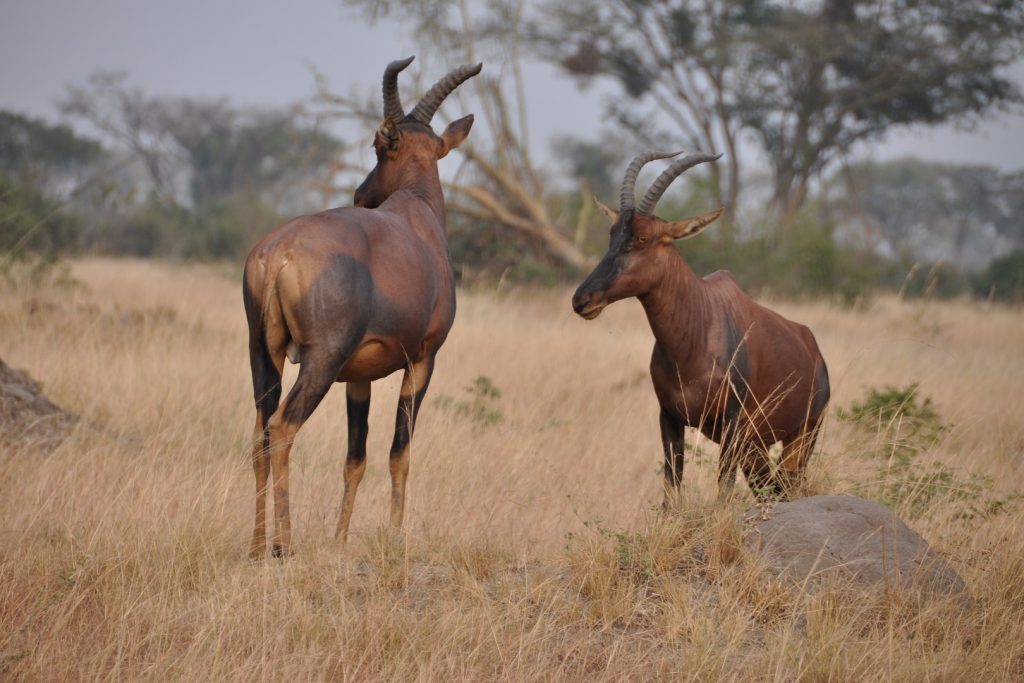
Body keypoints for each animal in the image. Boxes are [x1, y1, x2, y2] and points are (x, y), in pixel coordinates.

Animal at [242, 57, 479, 561]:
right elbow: (399, 453)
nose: (360, 194)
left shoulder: (359, 377)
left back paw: (255, 547)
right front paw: (394, 537)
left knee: (260, 433)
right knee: (283, 427)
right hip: (321, 360)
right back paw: (283, 546)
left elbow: (355, 458)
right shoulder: (423, 360)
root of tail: (279, 253)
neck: (415, 213)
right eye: (376, 144)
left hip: (263, 353)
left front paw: (340, 540)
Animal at [573, 152, 827, 505]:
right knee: (771, 488)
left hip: (802, 435)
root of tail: (814, 350)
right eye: (613, 233)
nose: (583, 299)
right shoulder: (669, 418)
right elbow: (672, 489)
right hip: (757, 445)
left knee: (789, 486)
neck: (697, 330)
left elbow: (723, 490)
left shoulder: (732, 423)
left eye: (643, 237)